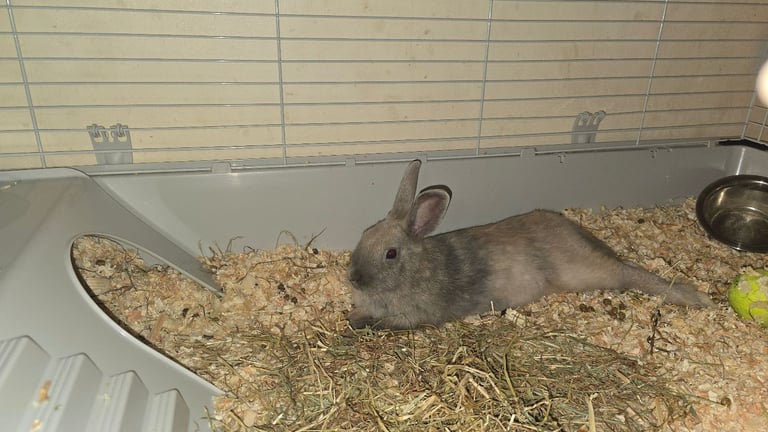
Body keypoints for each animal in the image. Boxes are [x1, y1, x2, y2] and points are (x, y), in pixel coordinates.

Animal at [346, 159, 714, 330]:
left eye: (391, 253)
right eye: (363, 234)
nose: (353, 278)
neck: (413, 271)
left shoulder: (413, 318)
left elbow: (383, 323)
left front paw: (356, 323)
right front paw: (352, 315)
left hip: (589, 273)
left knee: (627, 274)